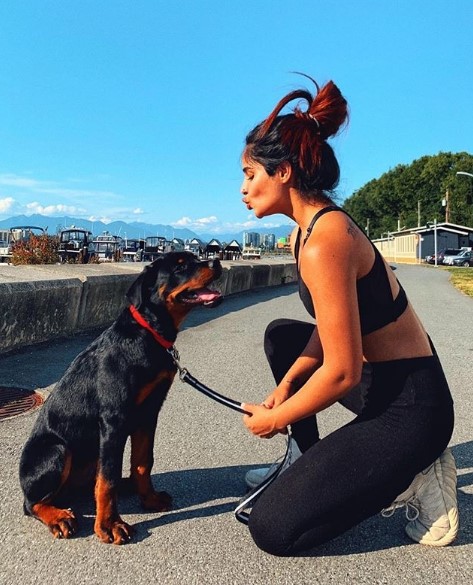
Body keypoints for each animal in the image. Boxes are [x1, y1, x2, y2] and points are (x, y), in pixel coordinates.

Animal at [19, 251, 222, 544]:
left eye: (196, 257)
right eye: (180, 266)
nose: (217, 262)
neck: (149, 333)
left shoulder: (149, 413)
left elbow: (142, 462)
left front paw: (148, 498)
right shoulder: (113, 420)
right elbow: (108, 480)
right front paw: (109, 525)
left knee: (90, 483)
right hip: (56, 450)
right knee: (32, 503)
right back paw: (58, 517)